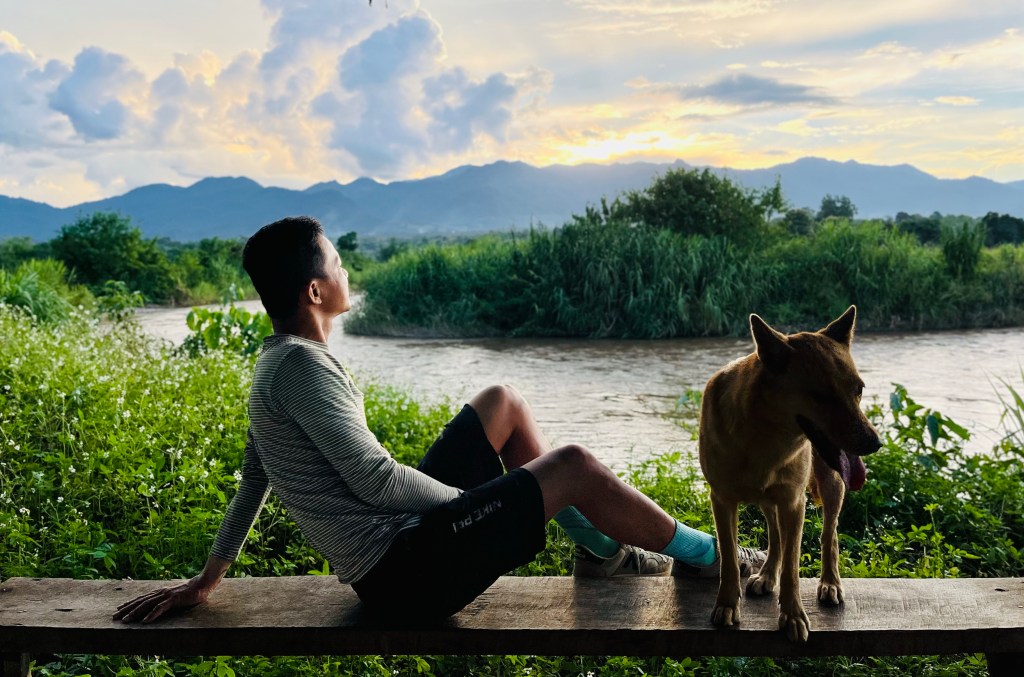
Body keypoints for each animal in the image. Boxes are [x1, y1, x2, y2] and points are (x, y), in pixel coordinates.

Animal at [698, 305, 882, 642]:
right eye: (822, 395)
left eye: (859, 390)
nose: (874, 443)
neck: (763, 436)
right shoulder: (722, 500)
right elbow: (729, 558)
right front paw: (727, 605)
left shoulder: (795, 503)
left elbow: (793, 568)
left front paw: (793, 615)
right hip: (771, 500)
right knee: (775, 536)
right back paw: (768, 574)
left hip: (830, 486)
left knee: (828, 535)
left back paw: (830, 582)